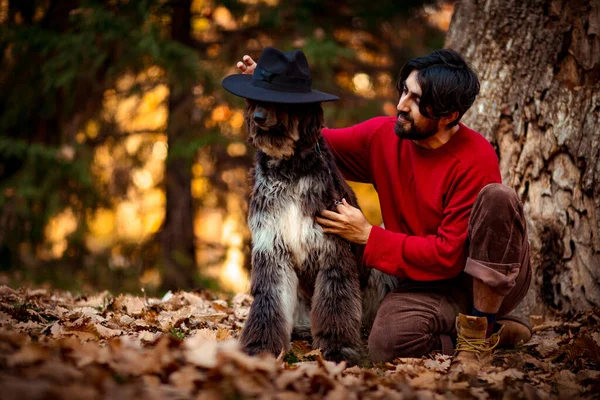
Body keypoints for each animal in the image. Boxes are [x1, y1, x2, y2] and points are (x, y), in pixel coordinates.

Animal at [239, 99, 398, 362]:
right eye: (255, 102)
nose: (258, 117)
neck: (289, 170)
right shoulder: (272, 247)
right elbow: (270, 301)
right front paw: (261, 347)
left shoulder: (332, 250)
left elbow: (335, 302)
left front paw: (338, 348)